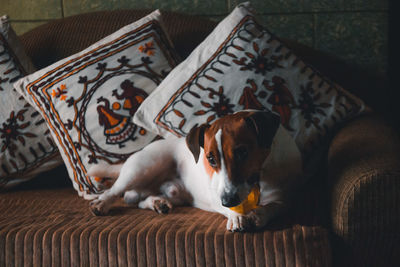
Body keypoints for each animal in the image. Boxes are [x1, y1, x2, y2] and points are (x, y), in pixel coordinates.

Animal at [89, 111, 302, 232]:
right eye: (211, 159)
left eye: (242, 152)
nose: (228, 200)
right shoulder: (217, 195)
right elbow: (230, 209)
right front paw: (237, 217)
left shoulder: (283, 199)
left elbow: (271, 207)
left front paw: (257, 215)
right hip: (143, 168)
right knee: (115, 191)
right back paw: (101, 203)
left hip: (172, 193)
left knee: (137, 200)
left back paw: (157, 203)